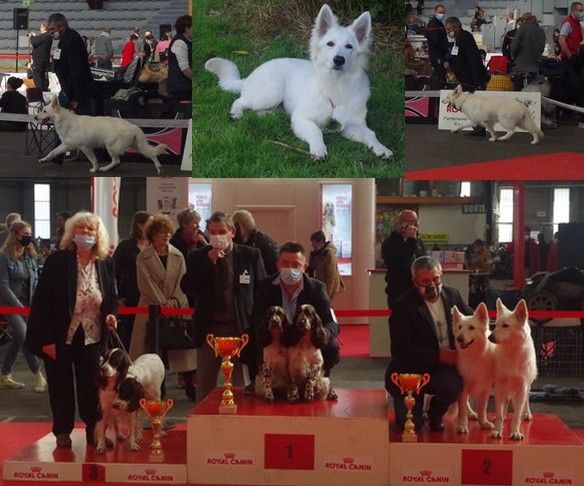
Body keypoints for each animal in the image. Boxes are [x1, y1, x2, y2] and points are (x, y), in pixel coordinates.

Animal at [34, 97, 168, 175]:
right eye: (41, 110)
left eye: (44, 111)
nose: (35, 117)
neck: (64, 120)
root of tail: (133, 126)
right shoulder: (66, 145)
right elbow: (52, 152)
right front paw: (44, 159)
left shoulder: (85, 147)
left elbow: (93, 160)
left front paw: (95, 169)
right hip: (137, 146)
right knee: (152, 155)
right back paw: (159, 168)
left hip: (111, 147)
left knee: (117, 160)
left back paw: (105, 168)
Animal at [205, 2, 392, 161]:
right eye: (330, 44)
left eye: (349, 46)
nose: (339, 60)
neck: (335, 85)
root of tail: (252, 74)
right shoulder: (301, 118)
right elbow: (316, 131)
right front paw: (318, 149)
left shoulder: (351, 125)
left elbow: (371, 134)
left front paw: (381, 148)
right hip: (271, 92)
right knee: (241, 100)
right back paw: (236, 112)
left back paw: (271, 114)